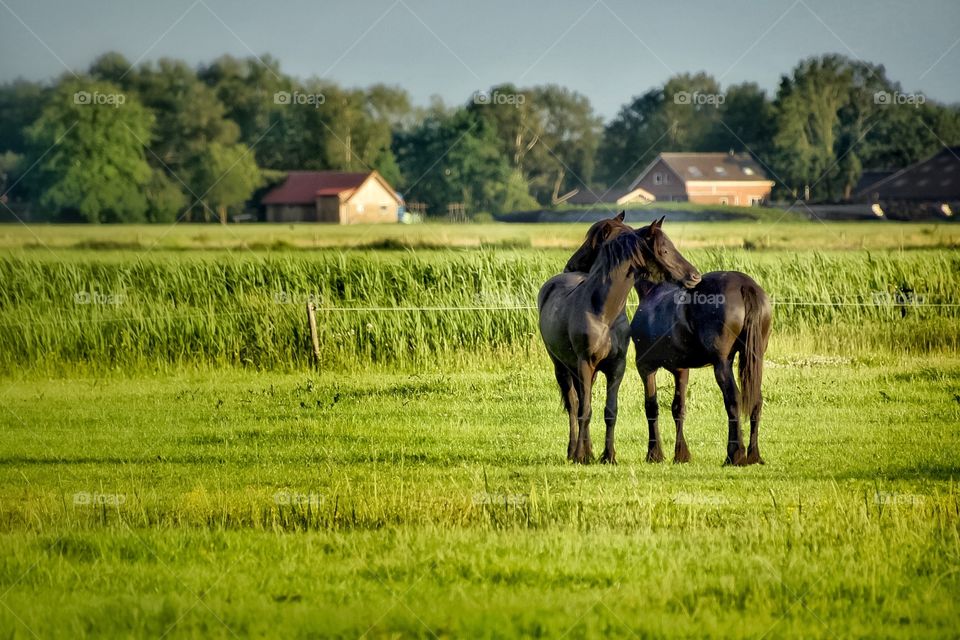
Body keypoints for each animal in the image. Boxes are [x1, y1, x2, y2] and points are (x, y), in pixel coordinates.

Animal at [540, 218, 696, 462]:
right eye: (664, 250)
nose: (695, 276)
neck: (603, 313)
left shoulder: (616, 367)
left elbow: (609, 411)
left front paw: (608, 456)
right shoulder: (585, 364)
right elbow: (584, 410)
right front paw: (581, 456)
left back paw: (589, 450)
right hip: (562, 368)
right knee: (574, 406)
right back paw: (573, 451)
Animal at [568, 214, 772, 464]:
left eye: (592, 241)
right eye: (666, 249)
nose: (694, 276)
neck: (653, 291)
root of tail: (745, 286)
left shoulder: (645, 366)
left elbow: (651, 406)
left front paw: (654, 453)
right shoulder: (681, 370)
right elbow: (678, 408)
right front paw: (681, 454)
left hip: (722, 363)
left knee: (734, 400)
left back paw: (735, 455)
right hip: (754, 360)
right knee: (756, 401)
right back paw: (754, 454)